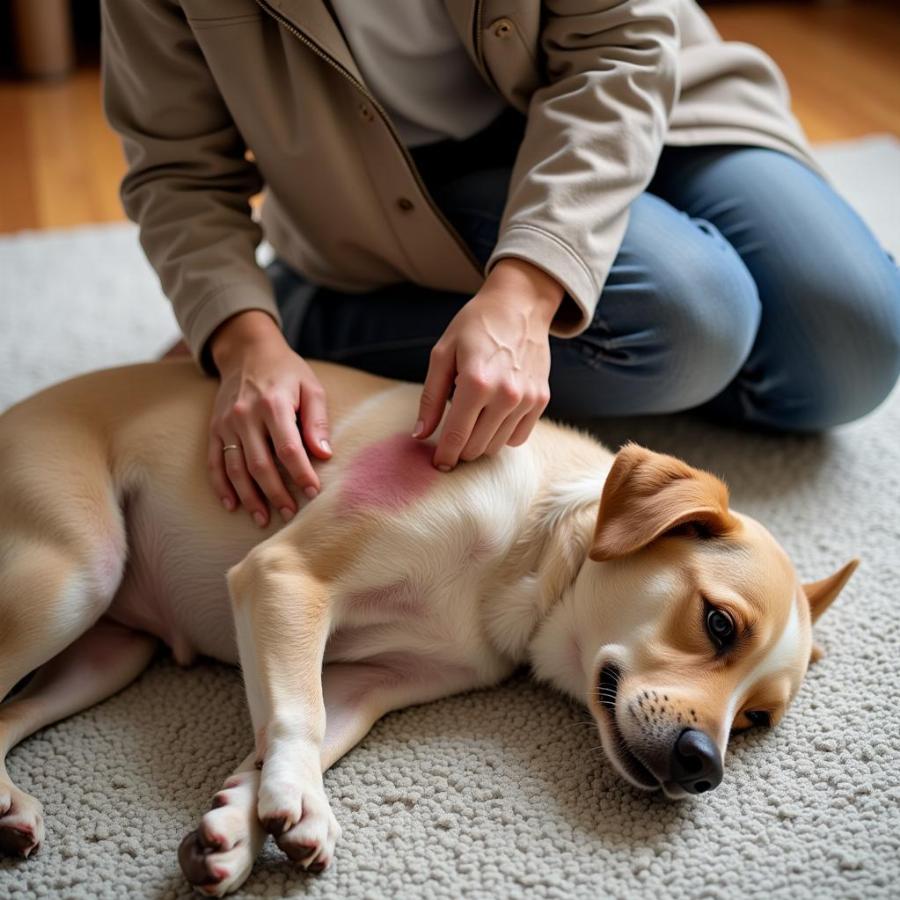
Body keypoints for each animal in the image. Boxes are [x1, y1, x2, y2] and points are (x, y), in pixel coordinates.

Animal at [0, 356, 856, 892]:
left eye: (755, 721)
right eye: (718, 624)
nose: (702, 768)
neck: (529, 547)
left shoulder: (370, 681)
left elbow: (291, 732)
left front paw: (237, 834)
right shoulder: (286, 578)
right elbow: (299, 715)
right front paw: (297, 804)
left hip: (111, 654)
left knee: (9, 714)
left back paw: (9, 811)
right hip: (76, 576)